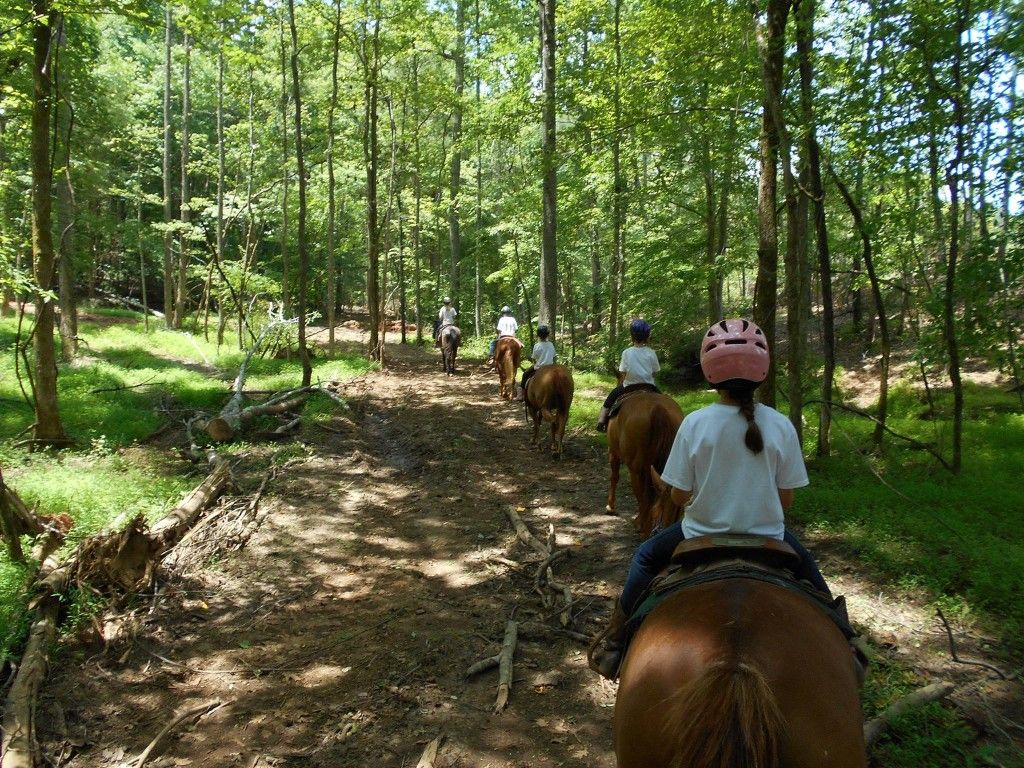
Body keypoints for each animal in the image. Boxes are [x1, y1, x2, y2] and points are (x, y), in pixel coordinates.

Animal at [602, 393, 684, 536]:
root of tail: (657, 409)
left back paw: (641, 524)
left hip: (635, 470)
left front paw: (610, 507)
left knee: (643, 497)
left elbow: (614, 477)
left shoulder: (613, 451)